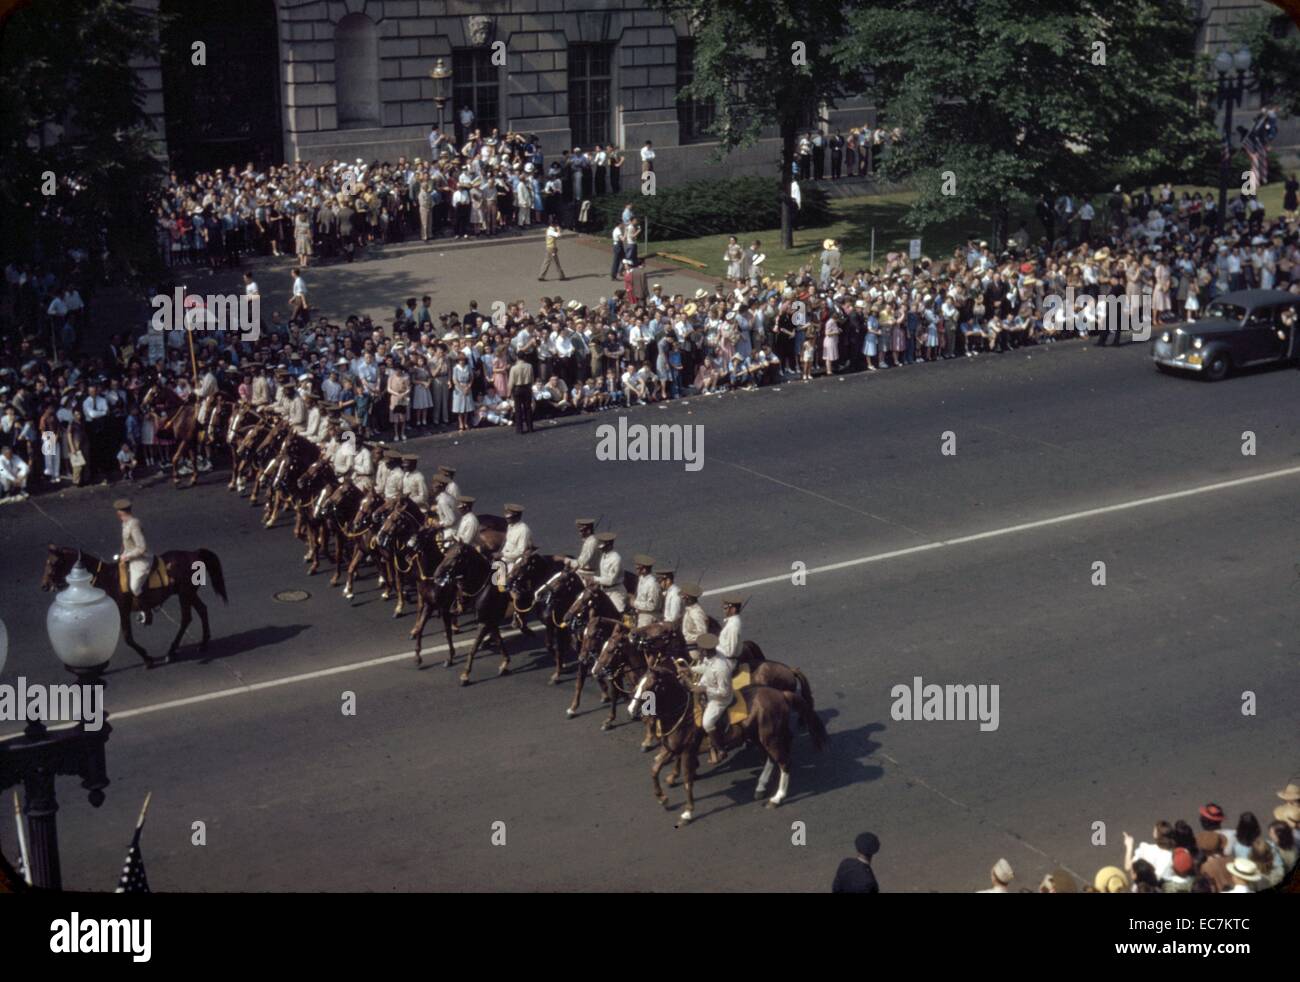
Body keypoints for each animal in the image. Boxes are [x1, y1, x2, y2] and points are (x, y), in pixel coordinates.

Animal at [39, 546, 228, 665]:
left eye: (53, 563)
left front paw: (147, 659)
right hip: (189, 594)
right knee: (202, 610)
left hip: (185, 594)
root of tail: (193, 554)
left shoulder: (122, 610)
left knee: (186, 618)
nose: (44, 585)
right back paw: (203, 643)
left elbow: (128, 638)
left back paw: (172, 651)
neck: (108, 578)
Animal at [631, 665, 832, 822]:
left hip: (770, 737)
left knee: (784, 762)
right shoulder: (671, 749)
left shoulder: (688, 751)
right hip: (759, 737)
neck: (681, 714)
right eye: (638, 683)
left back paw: (777, 798)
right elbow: (654, 769)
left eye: (651, 685)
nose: (632, 710)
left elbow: (688, 780)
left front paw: (687, 813)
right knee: (771, 759)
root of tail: (781, 694)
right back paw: (760, 787)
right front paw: (662, 798)